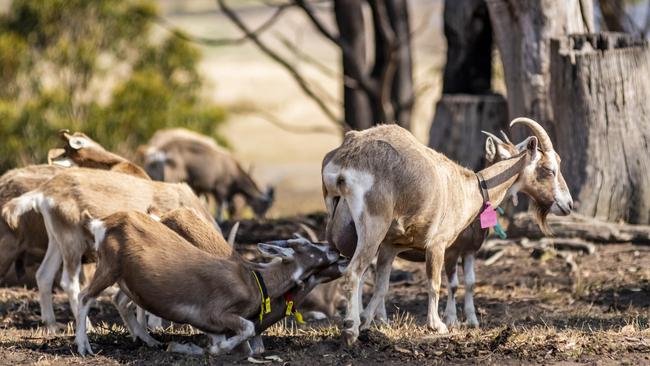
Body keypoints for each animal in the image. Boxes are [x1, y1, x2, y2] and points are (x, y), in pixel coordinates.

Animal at [1, 169, 218, 332]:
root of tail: (45, 191)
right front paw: (154, 326)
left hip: (57, 241)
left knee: (44, 275)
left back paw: (52, 325)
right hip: (73, 243)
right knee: (69, 283)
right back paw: (87, 327)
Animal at [74, 210, 340, 356]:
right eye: (305, 244)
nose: (335, 250)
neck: (254, 280)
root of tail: (101, 222)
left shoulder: (215, 327)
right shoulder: (214, 313)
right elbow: (247, 329)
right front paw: (207, 351)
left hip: (125, 278)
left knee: (117, 300)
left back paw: (149, 341)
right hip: (109, 265)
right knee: (84, 296)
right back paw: (84, 347)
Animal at [139, 129, 274, 220]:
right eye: (264, 204)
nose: (261, 218)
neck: (233, 170)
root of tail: (158, 152)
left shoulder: (200, 188)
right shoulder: (220, 190)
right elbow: (220, 210)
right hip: (171, 176)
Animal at [322, 118, 568, 344]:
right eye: (549, 169)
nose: (567, 204)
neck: (467, 188)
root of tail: (345, 162)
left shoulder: (392, 246)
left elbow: (382, 286)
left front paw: (367, 321)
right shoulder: (438, 246)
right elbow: (435, 283)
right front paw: (438, 325)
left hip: (341, 232)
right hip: (373, 227)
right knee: (354, 272)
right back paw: (350, 329)